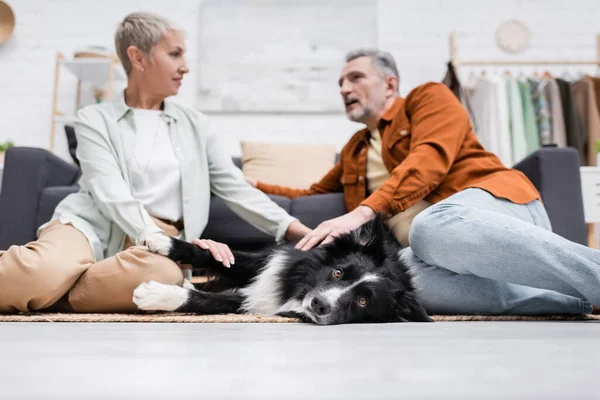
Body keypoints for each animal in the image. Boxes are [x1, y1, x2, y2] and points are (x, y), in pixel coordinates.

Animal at [134, 216, 432, 324]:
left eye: (362, 301)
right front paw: (163, 241)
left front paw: (154, 294)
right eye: (338, 272)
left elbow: (209, 300)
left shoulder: (258, 300)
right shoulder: (274, 262)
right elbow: (225, 257)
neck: (298, 288)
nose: (319, 304)